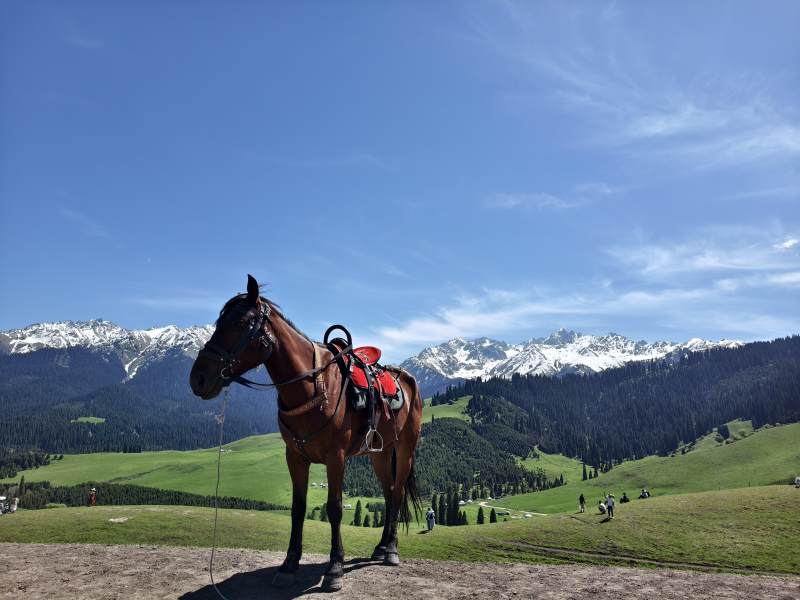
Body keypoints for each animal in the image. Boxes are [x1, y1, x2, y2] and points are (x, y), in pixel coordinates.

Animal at [189, 275, 423, 591]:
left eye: (240, 323)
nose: (198, 378)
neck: (312, 386)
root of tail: (410, 381)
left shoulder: (336, 458)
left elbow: (335, 508)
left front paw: (335, 568)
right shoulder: (295, 457)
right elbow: (298, 508)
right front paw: (289, 564)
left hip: (405, 449)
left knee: (397, 494)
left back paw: (392, 551)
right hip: (382, 453)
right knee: (387, 494)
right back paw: (381, 546)